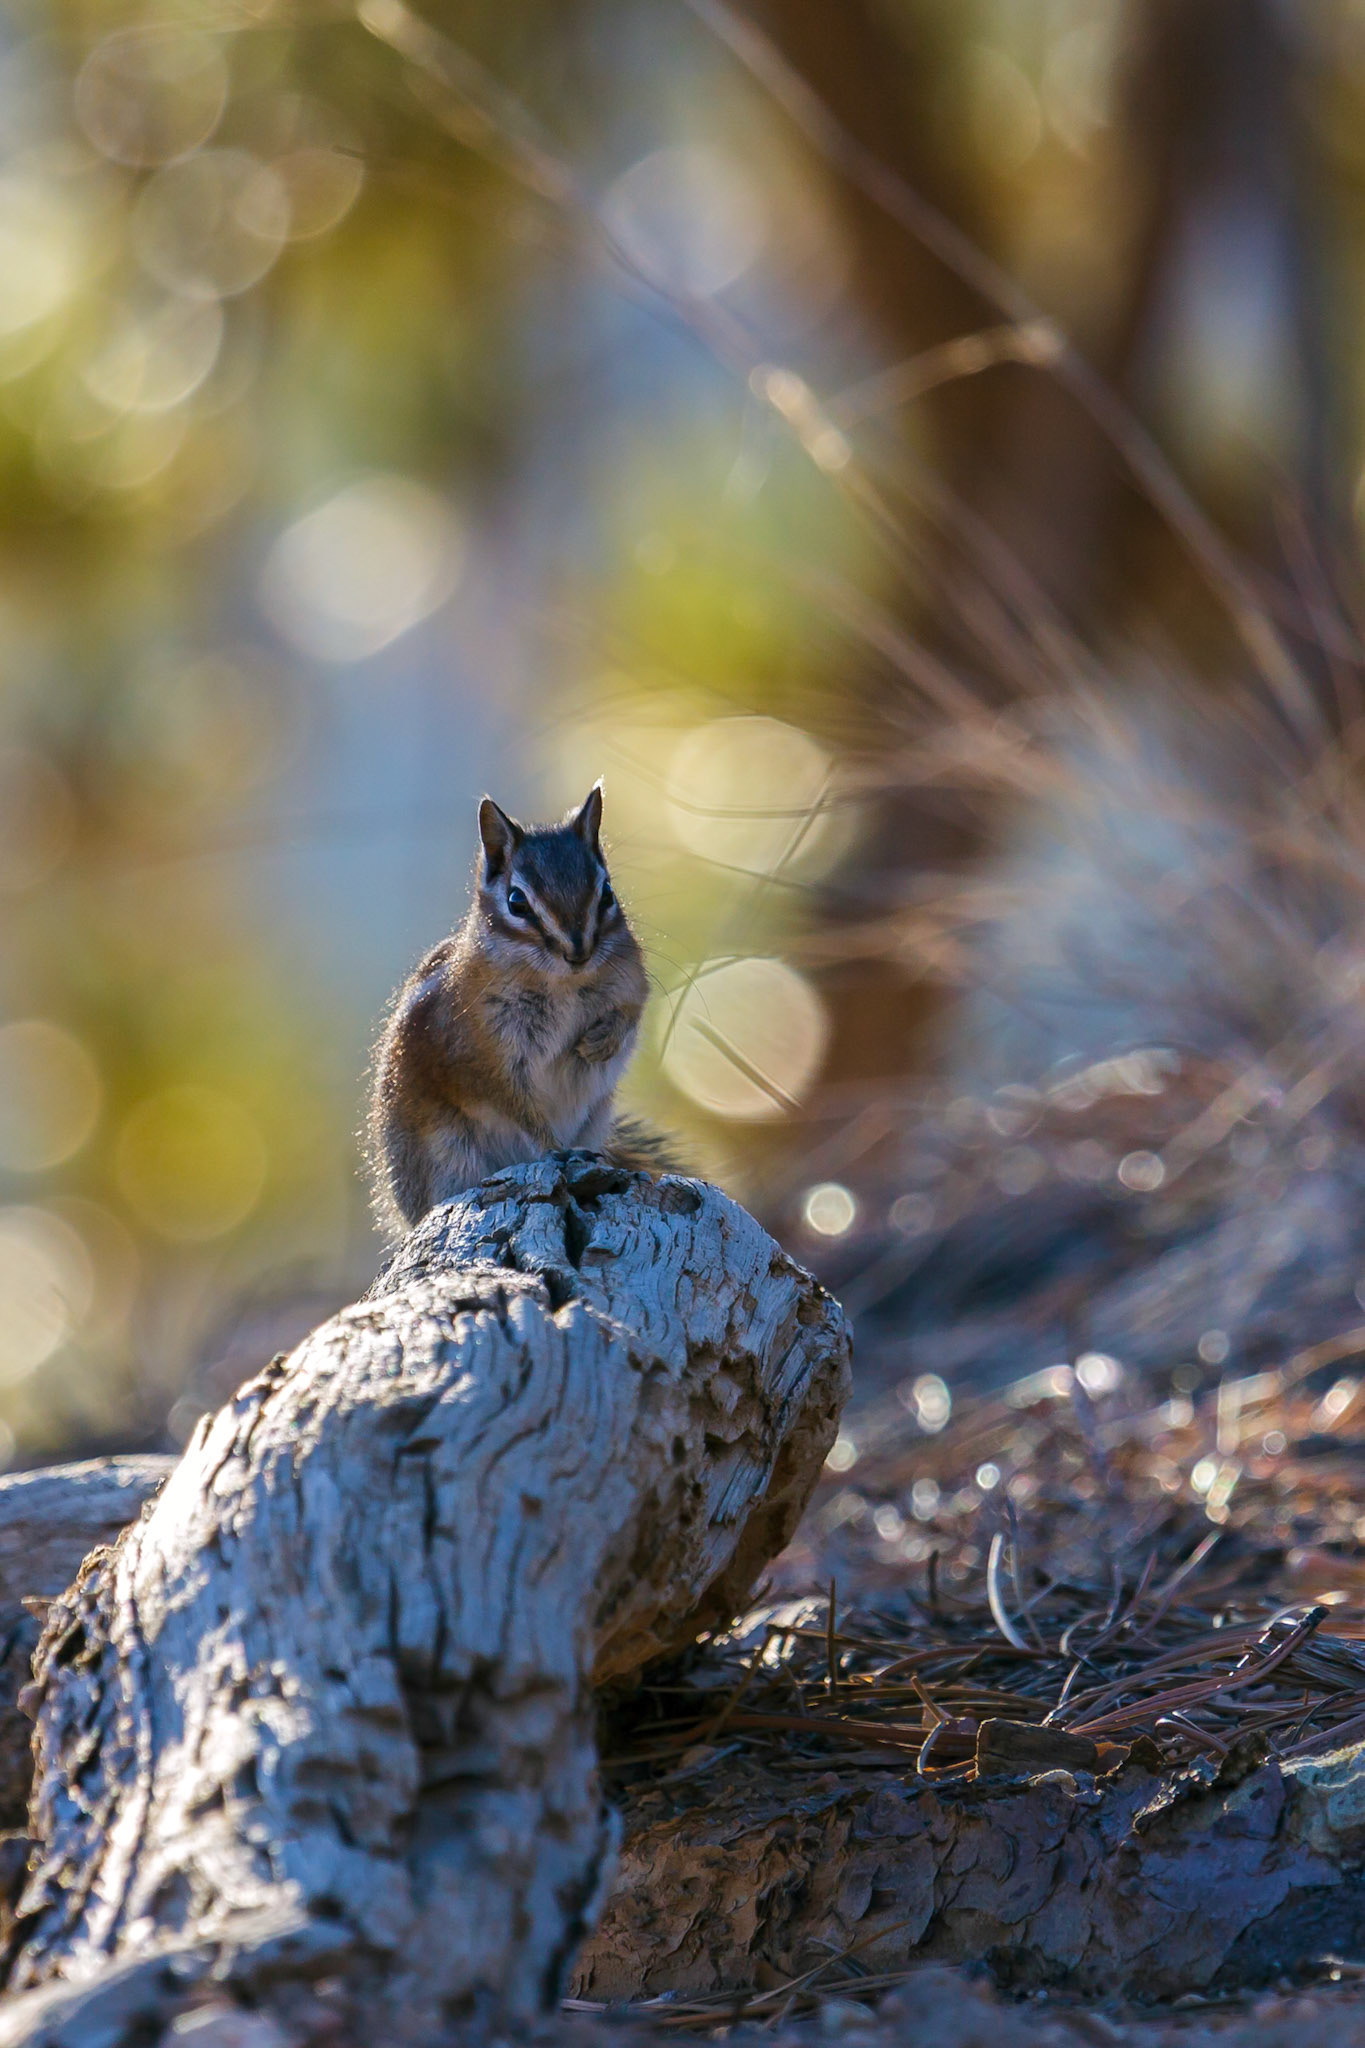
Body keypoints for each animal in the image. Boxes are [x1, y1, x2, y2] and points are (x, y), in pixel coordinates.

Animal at [366, 781, 676, 1238]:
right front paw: (554, 1148)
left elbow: (630, 1013)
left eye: (606, 893)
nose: (578, 952)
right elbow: (517, 1106)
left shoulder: (632, 983)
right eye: (517, 902)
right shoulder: (484, 1055)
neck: (562, 984)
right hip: (447, 1159)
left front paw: (599, 1043)